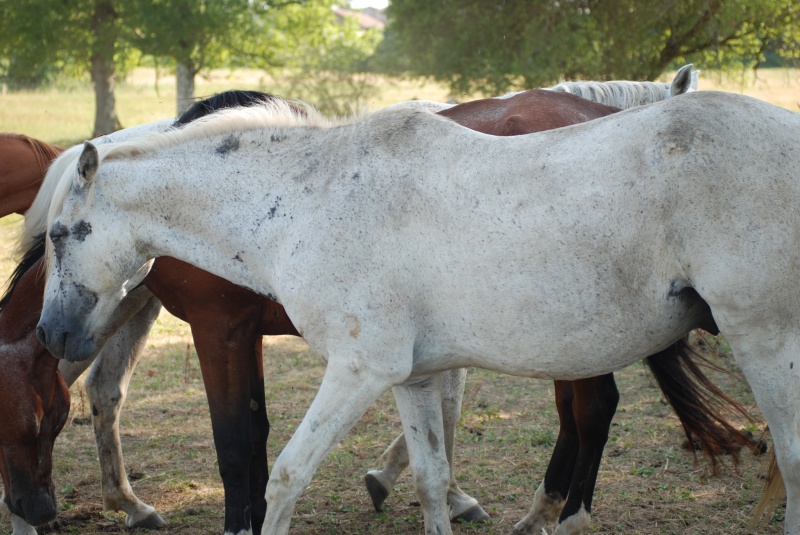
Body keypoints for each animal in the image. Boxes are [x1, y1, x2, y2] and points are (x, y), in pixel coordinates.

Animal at [34, 90, 800, 532]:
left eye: (61, 233)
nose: (51, 334)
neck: (313, 198)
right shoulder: (414, 377)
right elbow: (431, 479)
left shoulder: (357, 371)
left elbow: (283, 475)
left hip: (766, 341)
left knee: (788, 460)